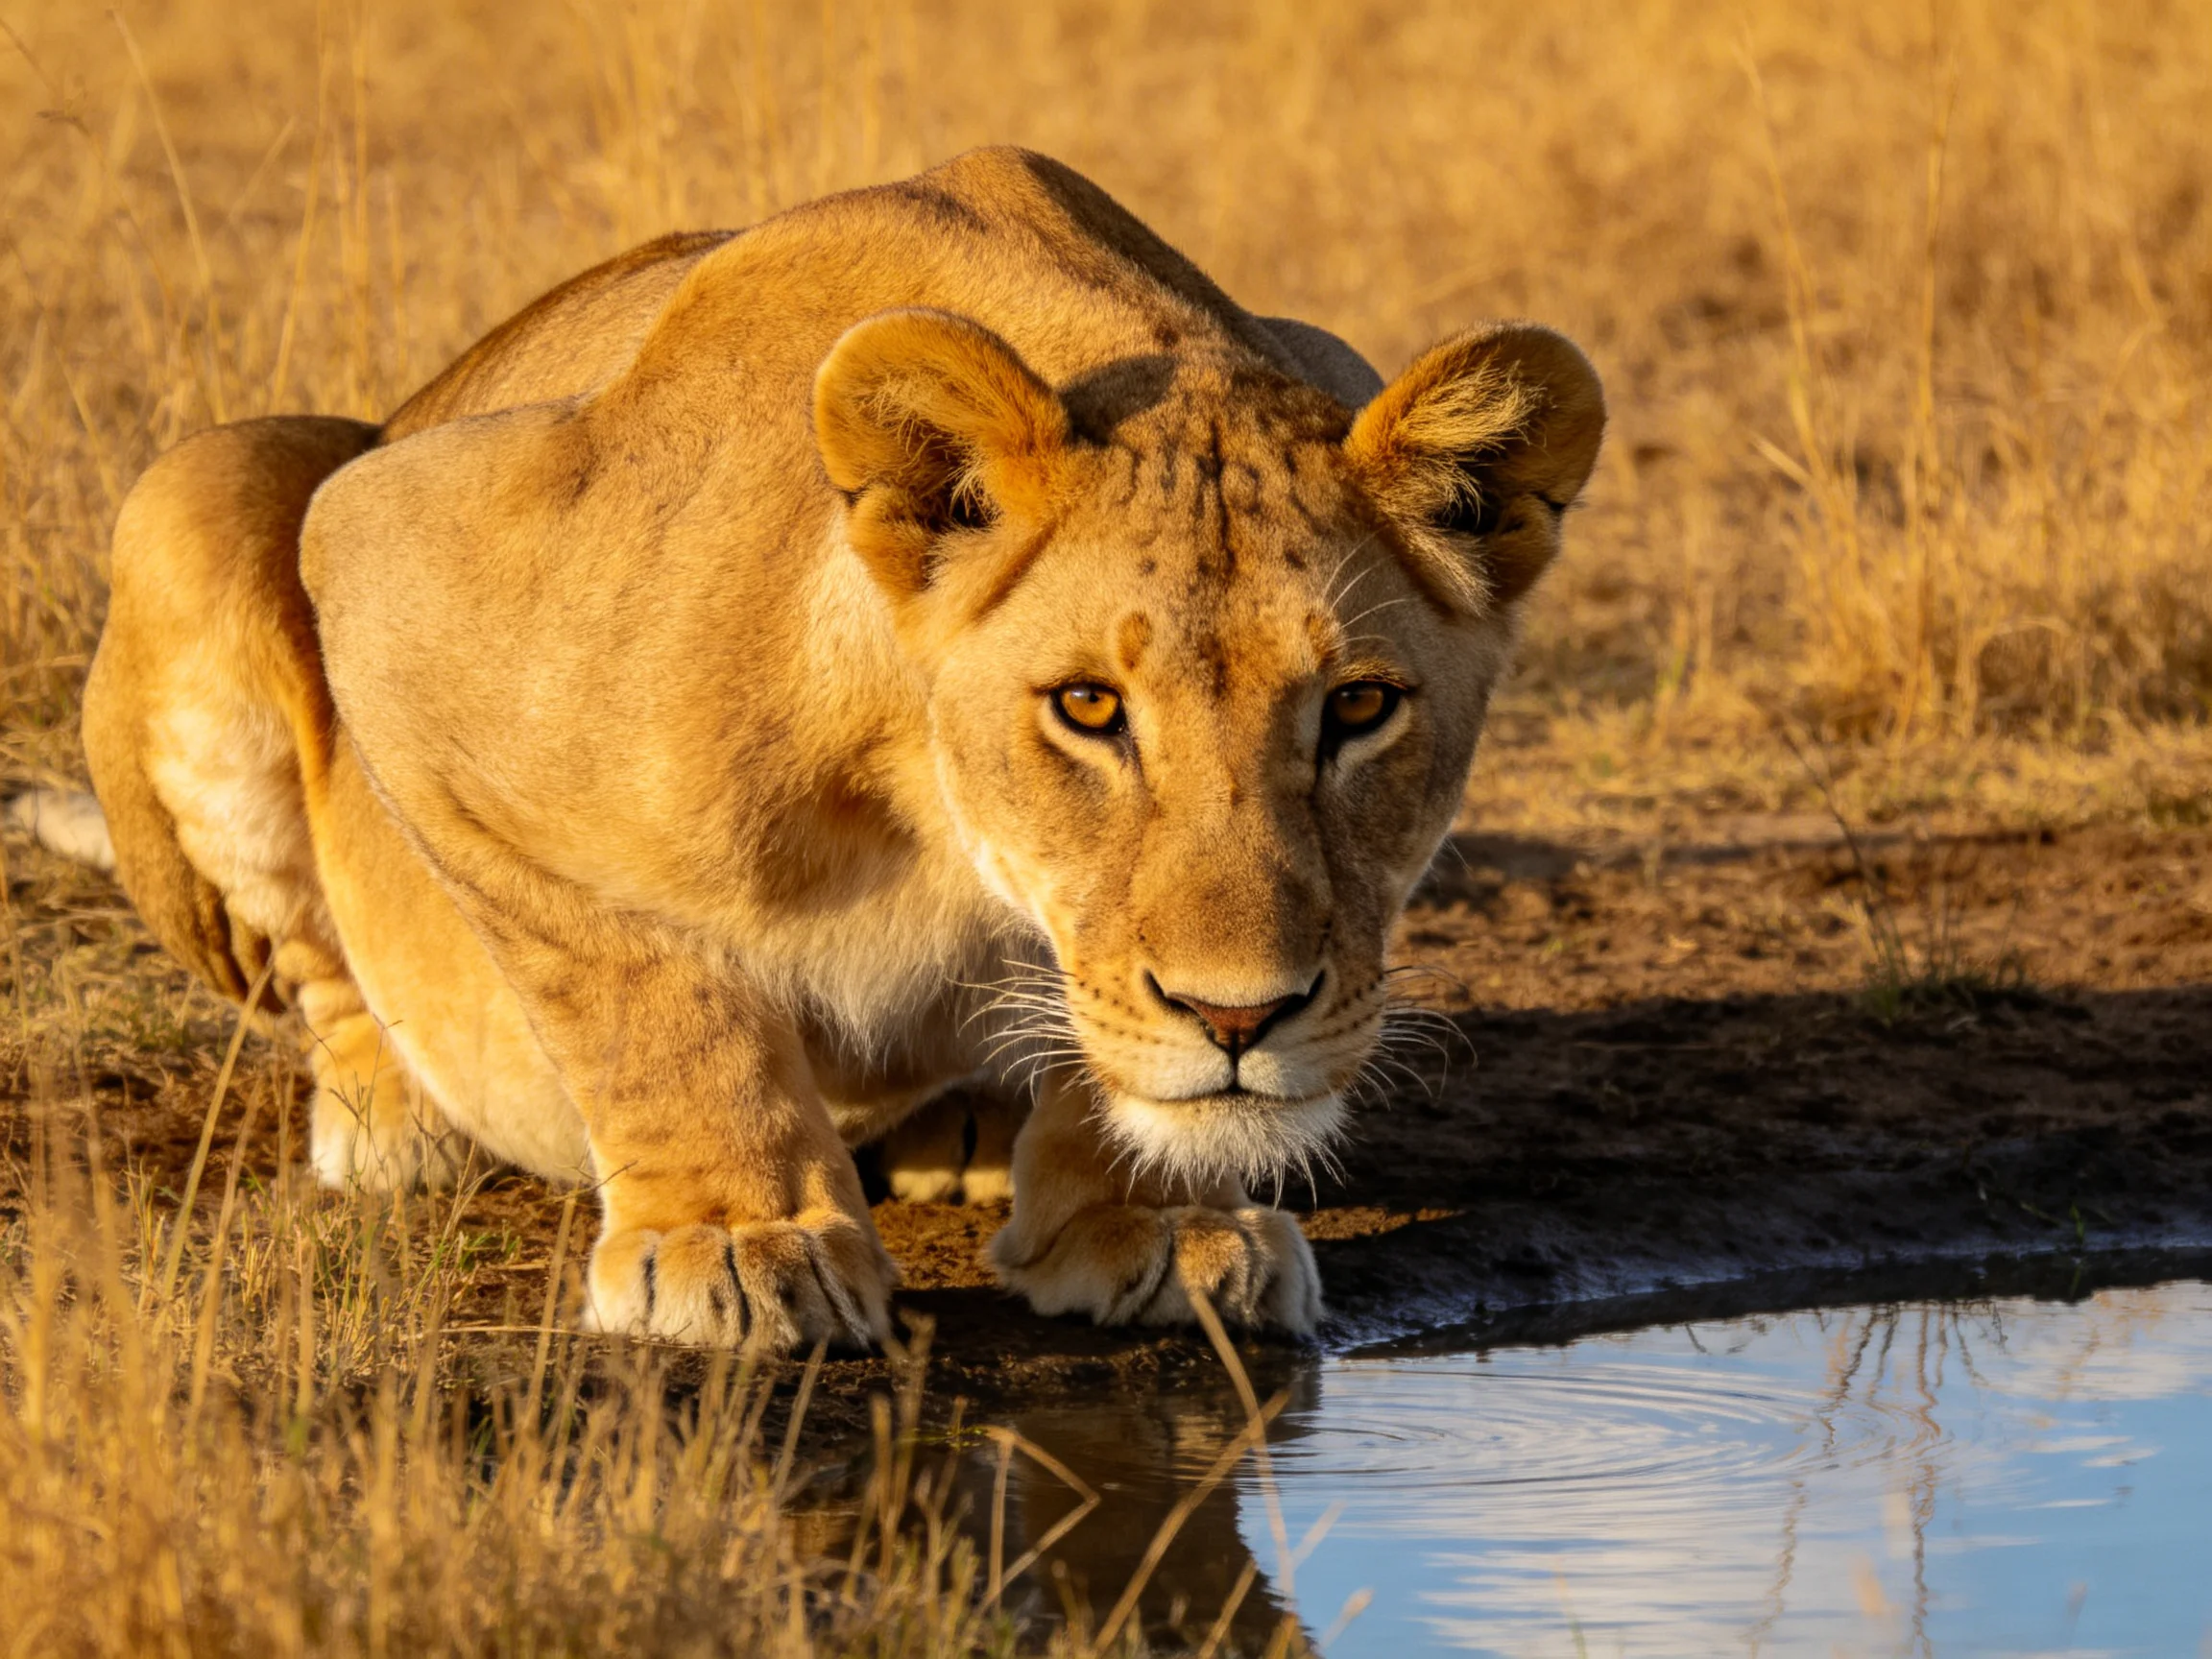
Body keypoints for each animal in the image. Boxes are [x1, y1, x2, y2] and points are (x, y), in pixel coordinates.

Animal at [80, 146, 1603, 1349]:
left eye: (1357, 708)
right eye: (1088, 709)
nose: (1242, 1020)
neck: (938, 808)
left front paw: (1150, 1219)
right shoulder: (385, 553)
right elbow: (644, 987)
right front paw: (731, 1240)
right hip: (206, 488)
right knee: (318, 969)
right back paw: (390, 1118)